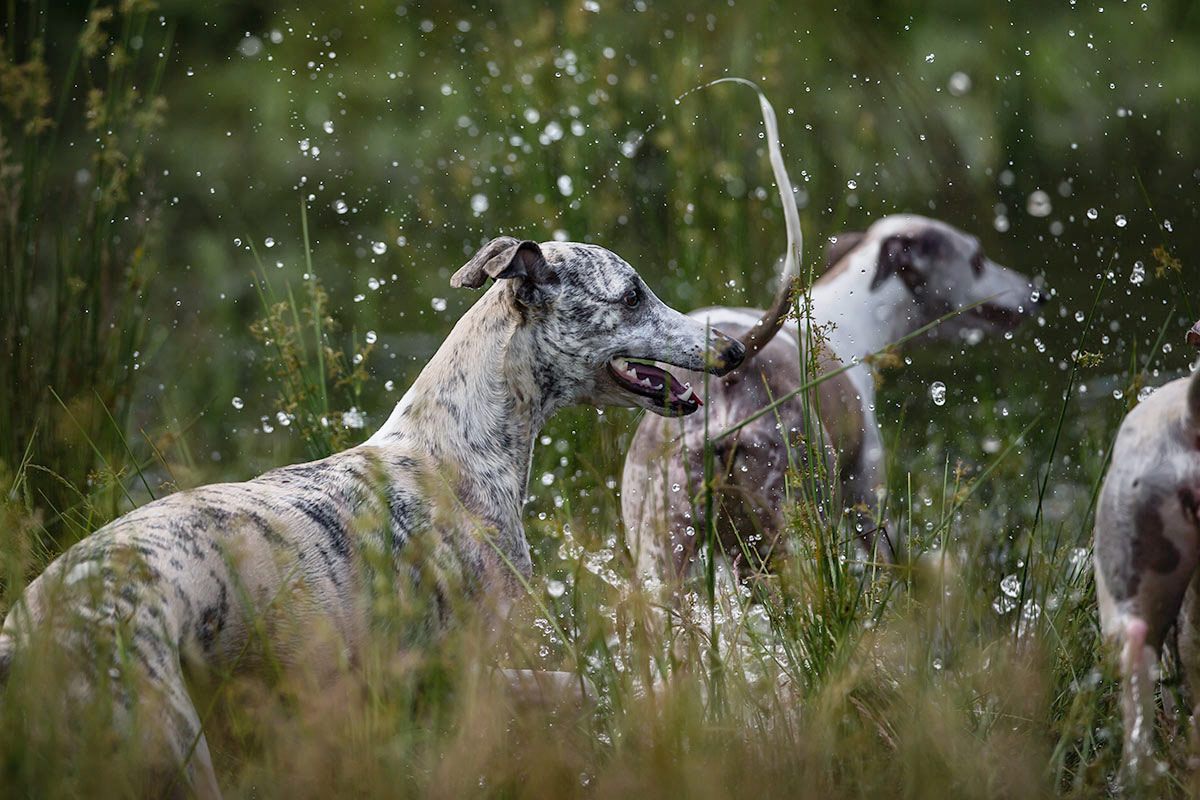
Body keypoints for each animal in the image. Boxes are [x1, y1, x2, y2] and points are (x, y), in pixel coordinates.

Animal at [0, 235, 744, 796]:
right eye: (632, 294)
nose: (735, 350)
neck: (452, 448)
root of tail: (32, 635)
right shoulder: (473, 677)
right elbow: (576, 690)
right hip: (169, 748)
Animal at [624, 212, 1046, 575]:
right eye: (977, 259)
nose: (1039, 292)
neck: (849, 316)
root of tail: (730, 383)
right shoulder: (867, 499)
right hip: (802, 524)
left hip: (661, 556)